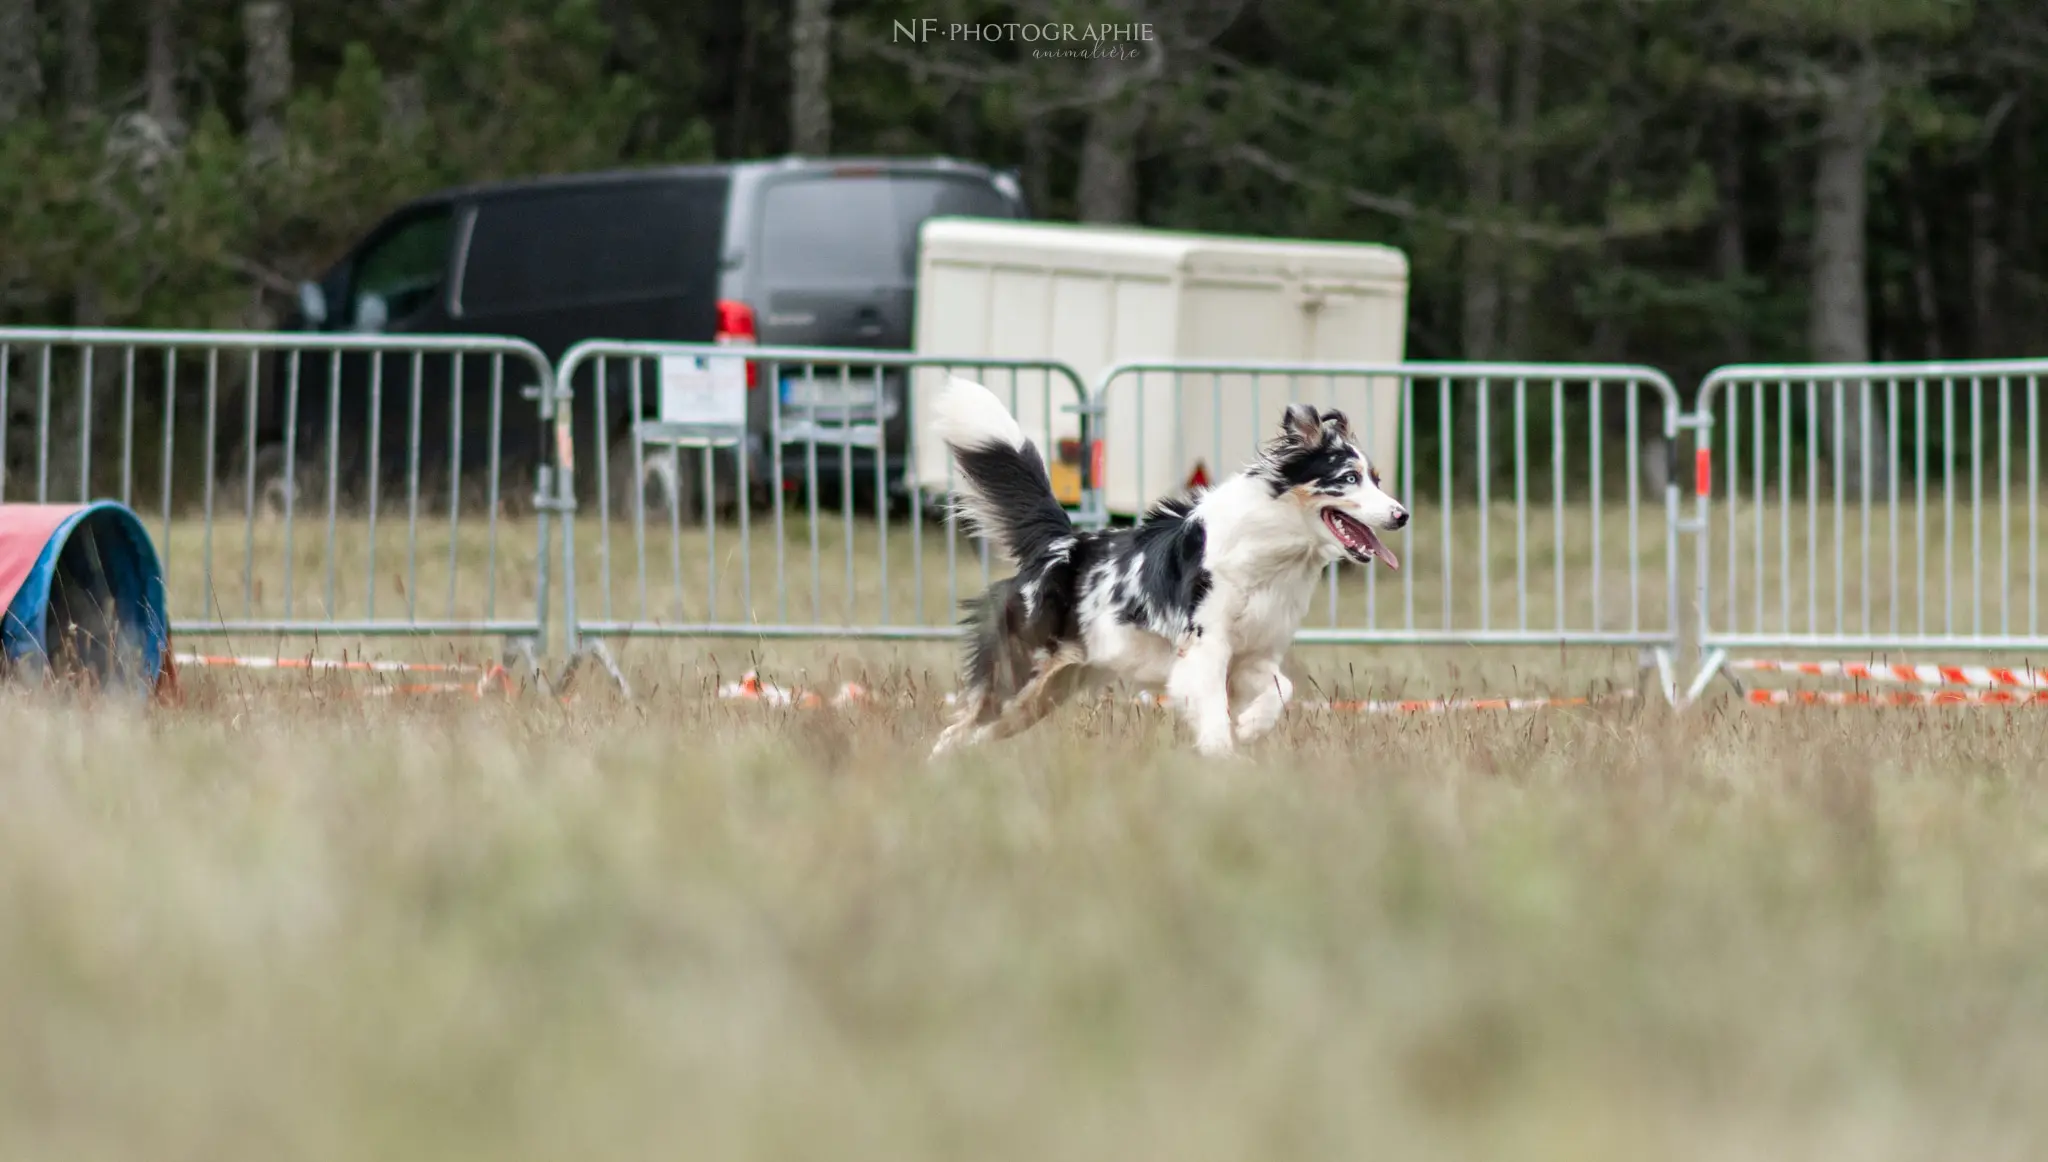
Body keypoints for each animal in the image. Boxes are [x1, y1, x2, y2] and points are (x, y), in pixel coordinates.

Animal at [929, 379, 1409, 762]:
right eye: (1349, 478)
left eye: (1377, 480)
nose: (1402, 515)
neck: (1272, 550)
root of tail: (1059, 544)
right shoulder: (1205, 650)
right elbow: (1214, 715)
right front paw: (1225, 759)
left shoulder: (1252, 657)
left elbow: (1281, 690)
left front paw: (1248, 728)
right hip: (1020, 675)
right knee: (954, 731)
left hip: (1046, 692)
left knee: (972, 735)